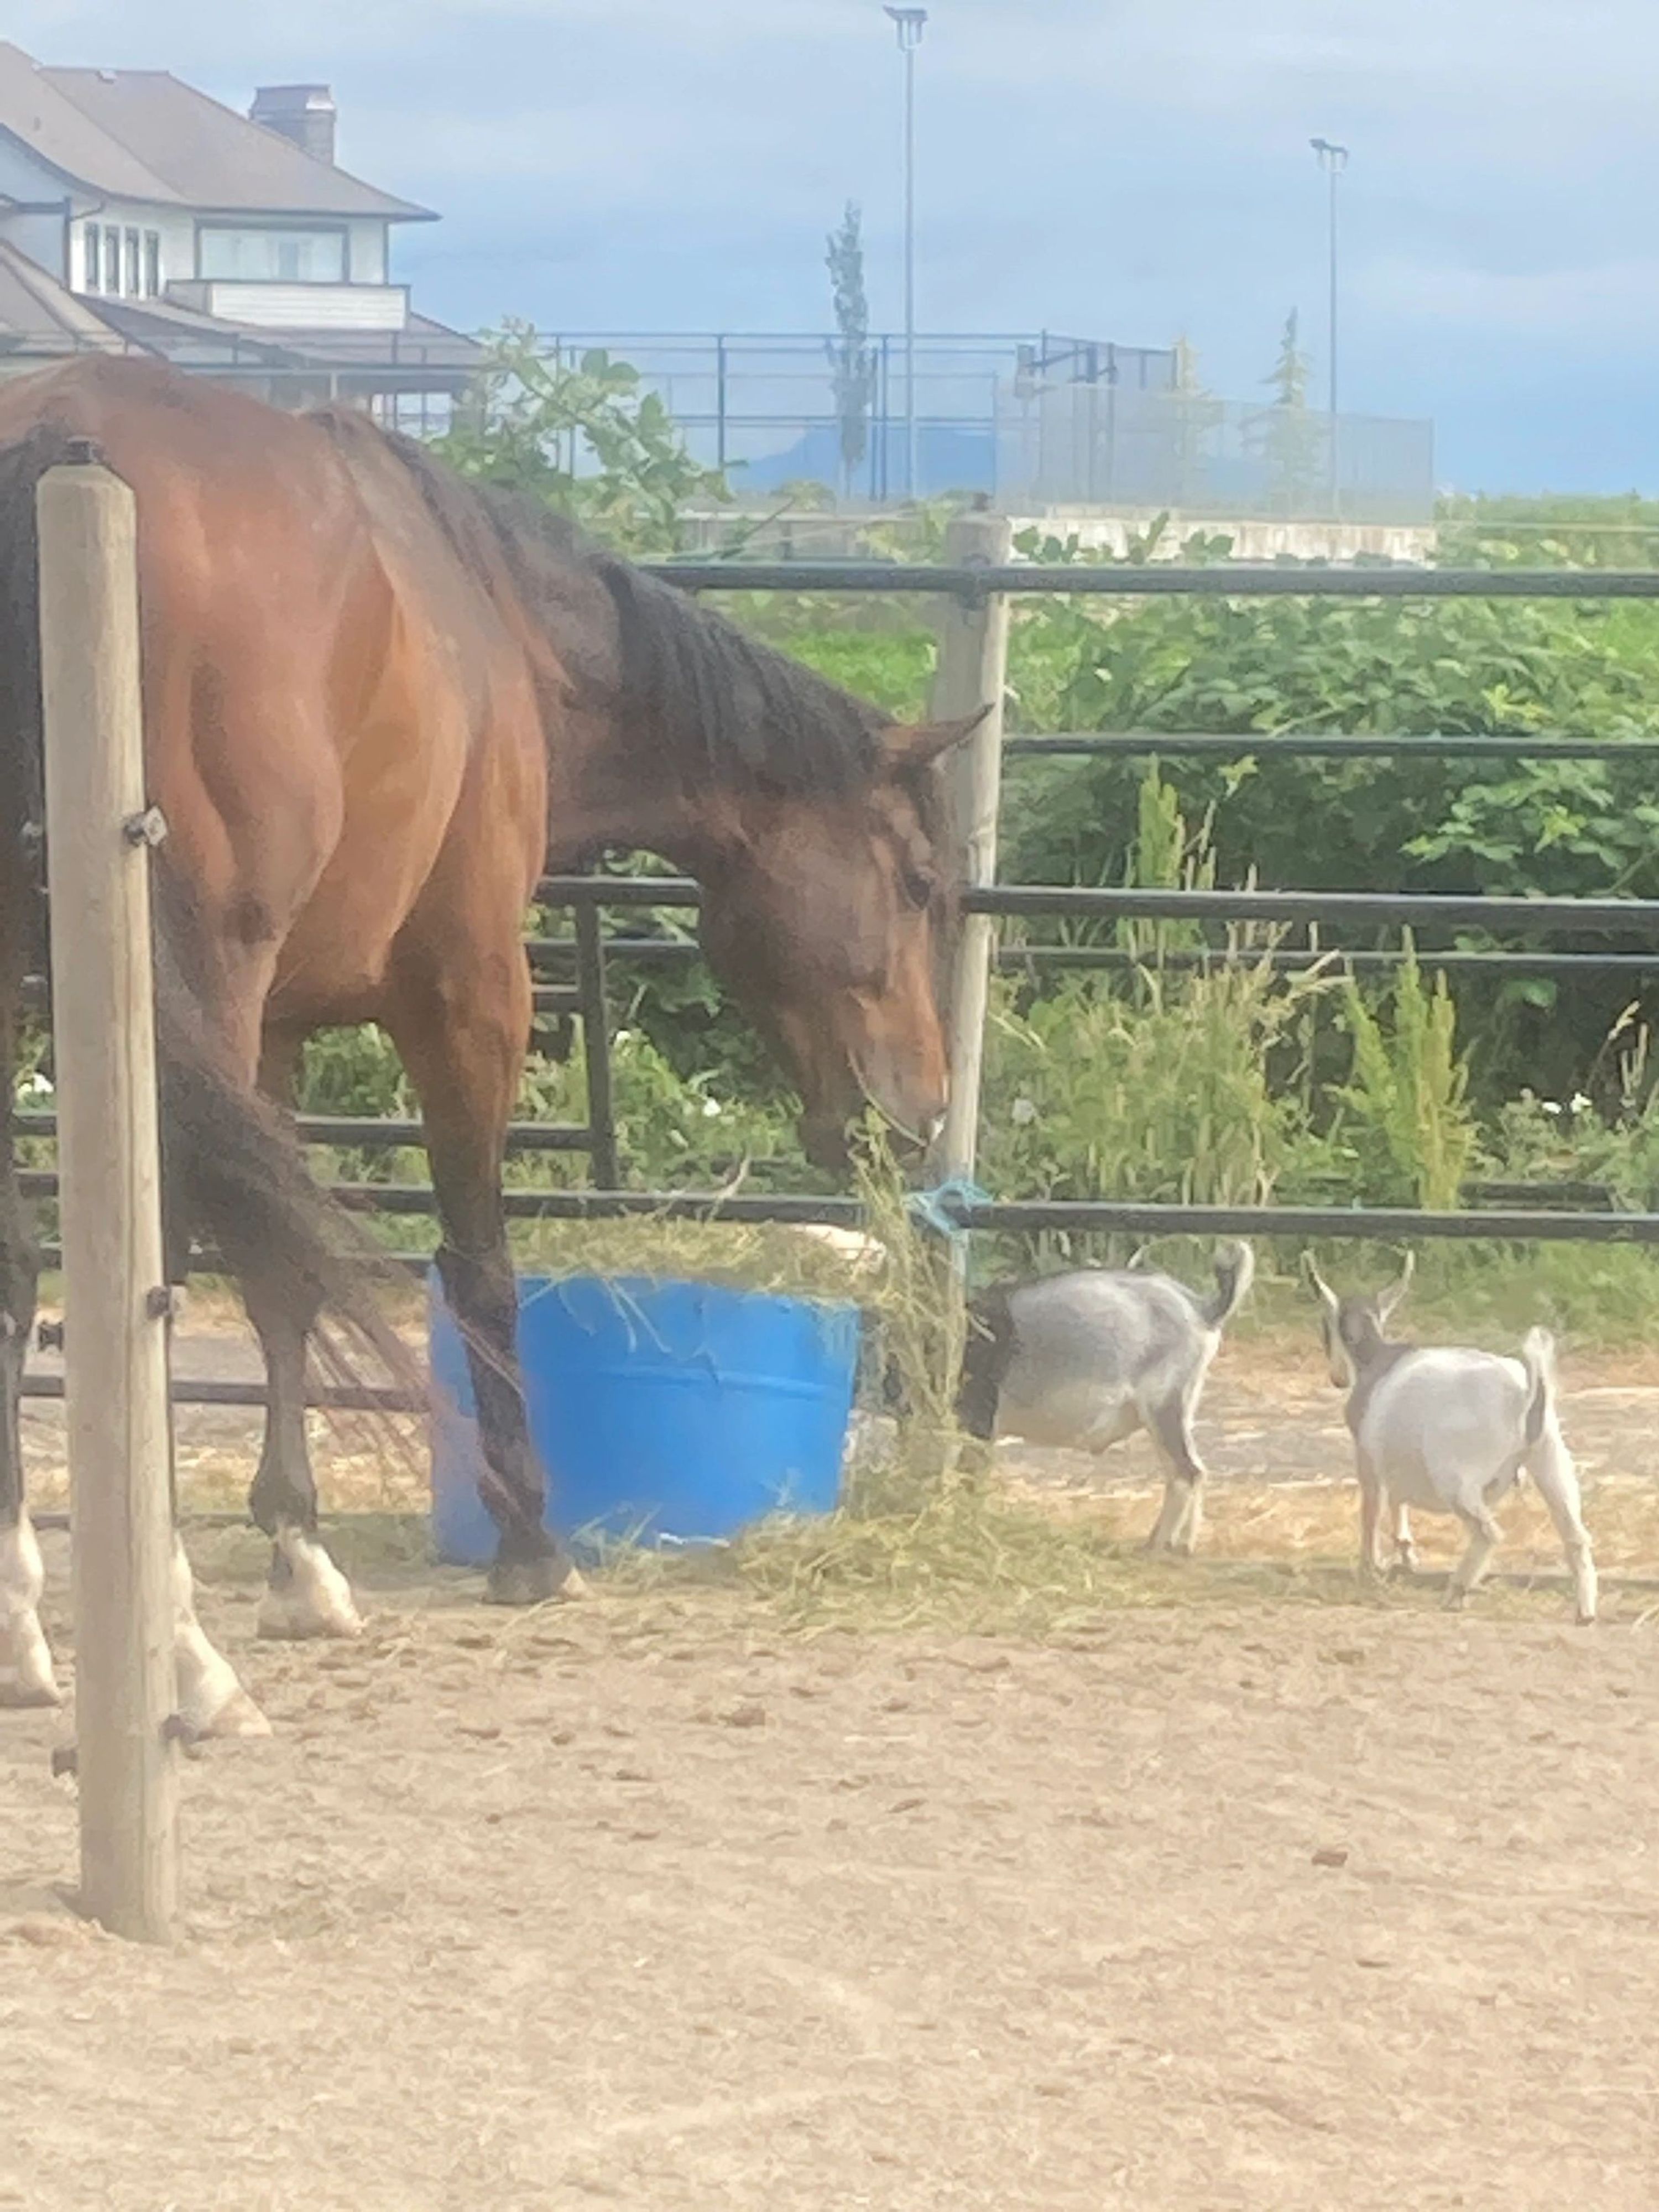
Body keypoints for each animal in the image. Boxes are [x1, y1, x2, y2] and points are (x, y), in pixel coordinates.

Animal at [0, 357, 979, 1733]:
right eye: (915, 881)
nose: (921, 1105)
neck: (494, 624)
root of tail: (53, 437)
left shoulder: (279, 1029)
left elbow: (285, 1273)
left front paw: (301, 1557)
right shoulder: (467, 992)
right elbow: (477, 1262)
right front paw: (530, 1543)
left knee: (27, 1255)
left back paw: (28, 1625)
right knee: (149, 1266)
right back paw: (183, 1651)